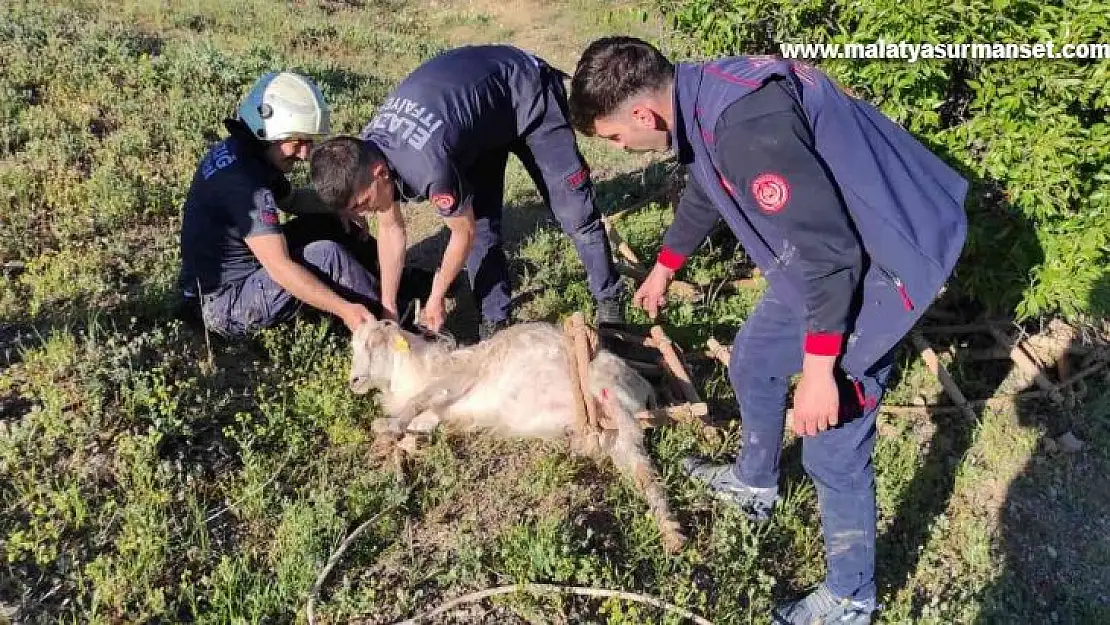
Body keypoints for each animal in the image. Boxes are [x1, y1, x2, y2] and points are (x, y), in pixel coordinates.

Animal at [346, 319, 683, 550]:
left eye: (373, 343)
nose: (354, 381)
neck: (418, 370)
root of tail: (643, 387)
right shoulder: (438, 413)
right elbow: (415, 429)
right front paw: (389, 444)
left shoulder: (456, 380)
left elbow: (420, 400)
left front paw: (384, 426)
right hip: (617, 438)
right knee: (645, 474)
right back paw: (672, 533)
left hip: (611, 397)